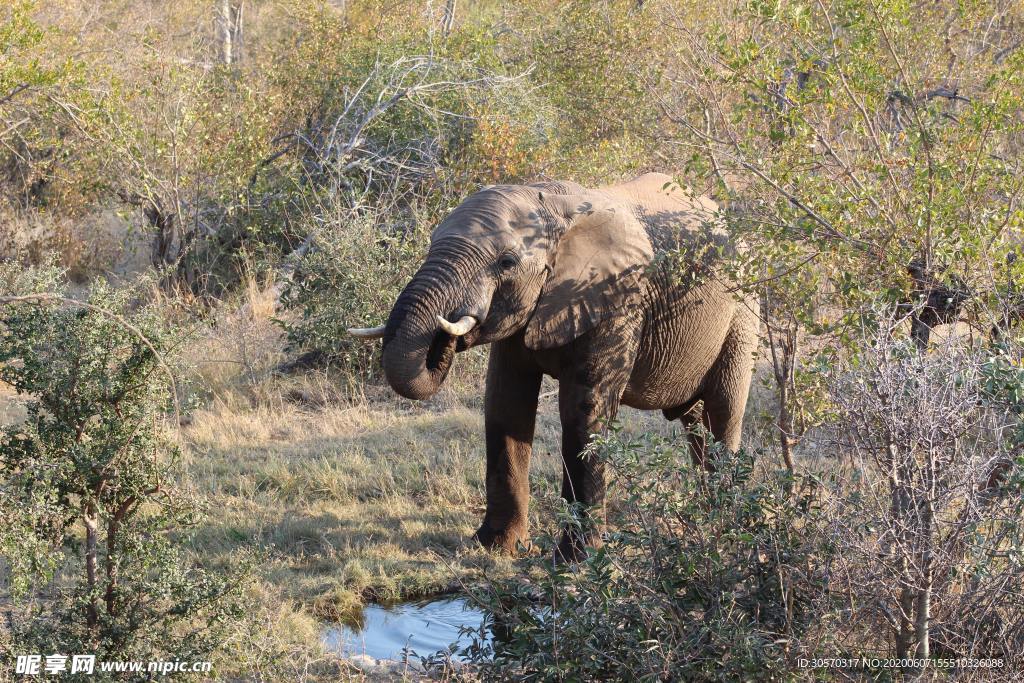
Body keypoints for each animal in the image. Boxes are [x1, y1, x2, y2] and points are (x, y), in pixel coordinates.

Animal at [349, 172, 759, 561]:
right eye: (431, 245)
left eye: (506, 263)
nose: (445, 329)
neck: (550, 204)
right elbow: (506, 405)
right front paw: (497, 547)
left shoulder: (614, 300)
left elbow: (583, 413)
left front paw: (576, 561)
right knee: (695, 422)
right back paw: (703, 514)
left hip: (743, 313)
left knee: (724, 411)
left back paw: (724, 521)